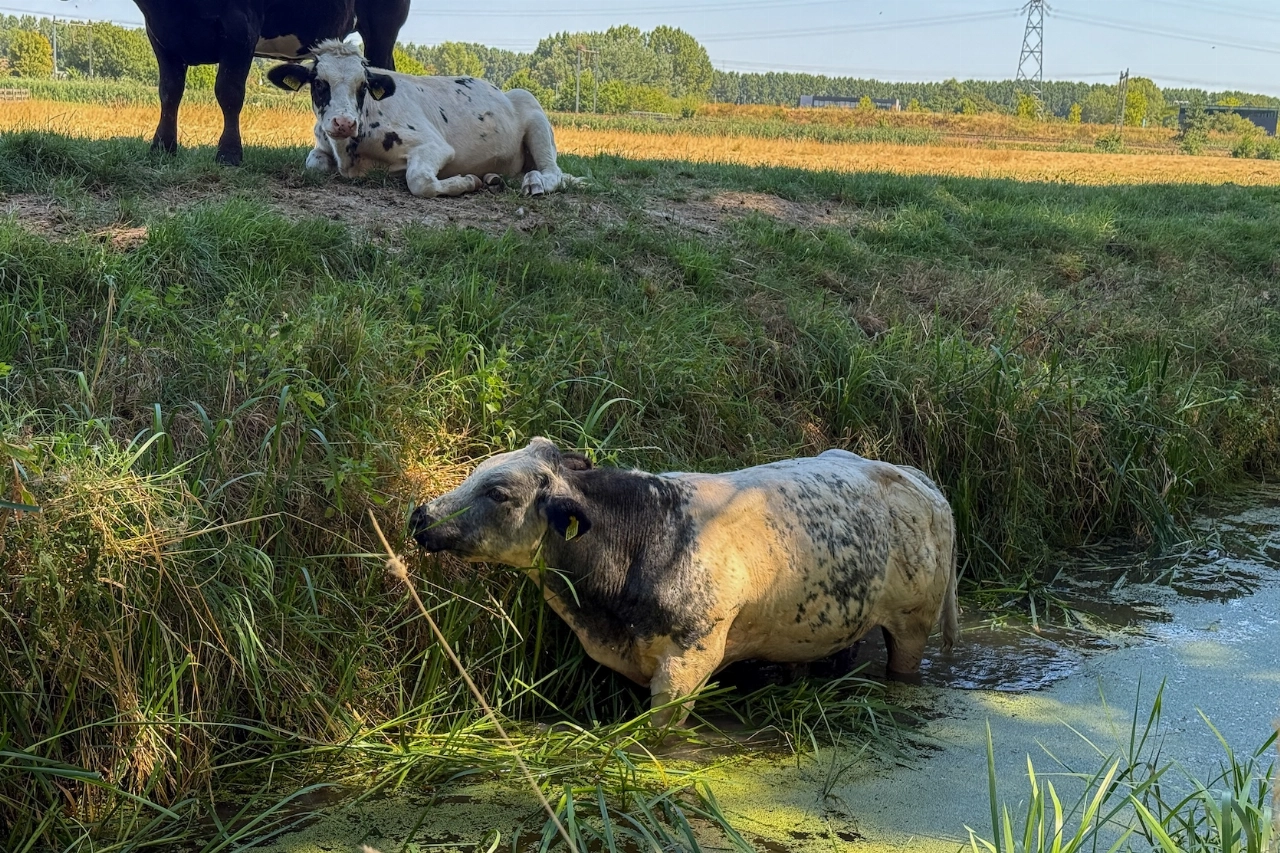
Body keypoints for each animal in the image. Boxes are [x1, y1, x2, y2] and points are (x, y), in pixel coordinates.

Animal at [132, 0, 411, 165]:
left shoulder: (240, 28)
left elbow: (229, 92)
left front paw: (229, 153)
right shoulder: (160, 34)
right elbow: (170, 91)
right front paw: (162, 147)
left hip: (382, 25)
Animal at [266, 41, 581, 198]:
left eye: (363, 86)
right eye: (319, 83)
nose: (344, 123)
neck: (350, 155)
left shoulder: (433, 145)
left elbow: (419, 182)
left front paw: (465, 182)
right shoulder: (322, 145)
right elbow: (313, 163)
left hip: (535, 117)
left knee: (552, 171)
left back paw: (534, 183)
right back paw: (493, 177)